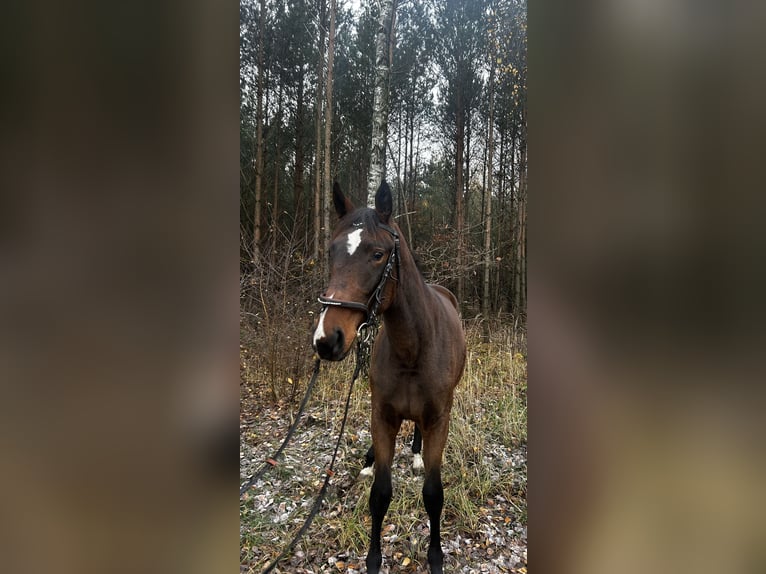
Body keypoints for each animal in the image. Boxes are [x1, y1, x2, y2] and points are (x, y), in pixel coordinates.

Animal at [312, 181, 466, 574]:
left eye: (378, 254)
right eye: (332, 251)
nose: (326, 339)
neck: (413, 347)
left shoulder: (438, 420)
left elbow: (433, 494)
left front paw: (435, 557)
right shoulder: (382, 415)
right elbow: (380, 494)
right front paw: (373, 559)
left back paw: (415, 454)